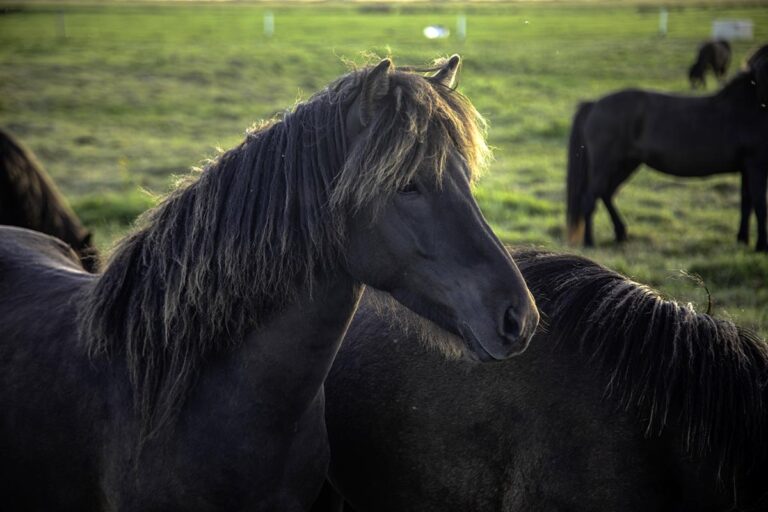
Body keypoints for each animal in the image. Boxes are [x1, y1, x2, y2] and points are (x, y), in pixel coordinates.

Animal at [566, 43, 768, 251]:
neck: (753, 105)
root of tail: (594, 104)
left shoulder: (747, 167)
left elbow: (747, 202)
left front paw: (743, 239)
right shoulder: (756, 164)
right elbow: (760, 204)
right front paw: (761, 245)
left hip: (627, 163)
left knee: (606, 193)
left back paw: (621, 234)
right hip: (605, 163)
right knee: (590, 198)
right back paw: (590, 241)